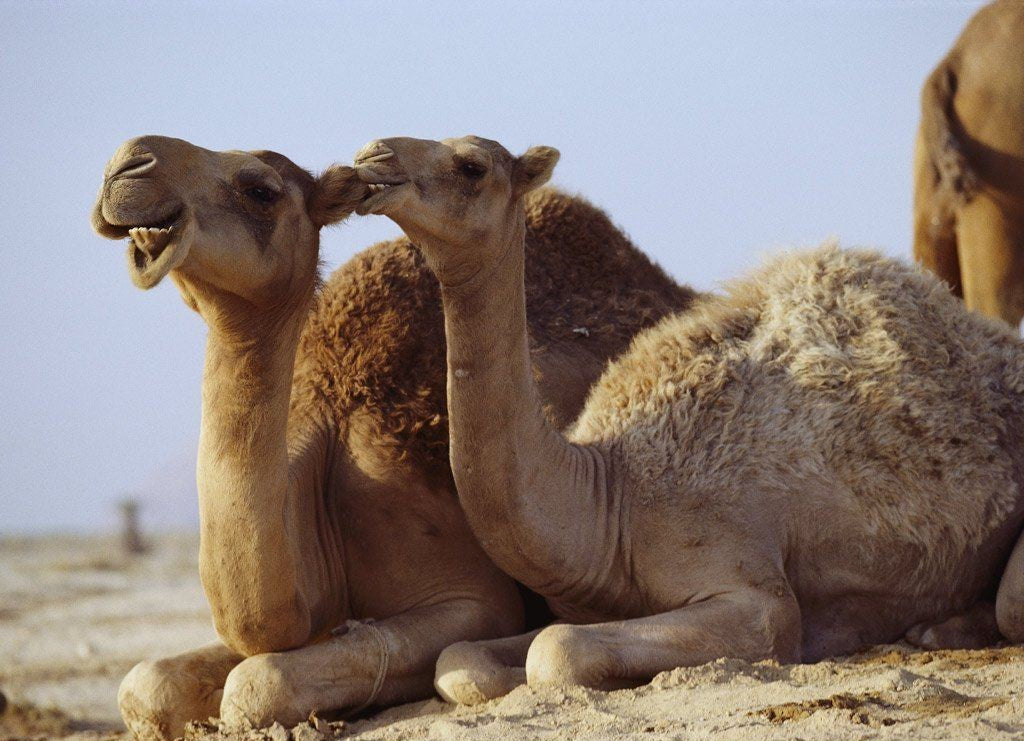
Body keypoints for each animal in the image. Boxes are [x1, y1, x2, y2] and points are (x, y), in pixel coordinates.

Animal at [354, 136, 1024, 704]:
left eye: (471, 166)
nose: (372, 157)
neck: (610, 494)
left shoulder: (752, 589)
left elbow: (557, 649)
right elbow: (459, 658)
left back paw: (938, 632)